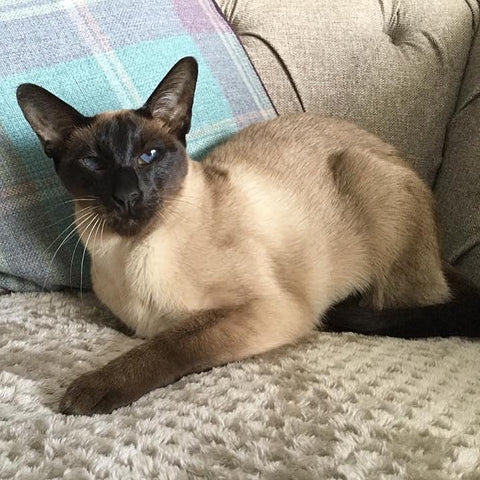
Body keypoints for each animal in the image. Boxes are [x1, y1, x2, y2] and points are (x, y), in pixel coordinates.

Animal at [16, 57, 478, 416]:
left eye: (149, 155)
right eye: (93, 163)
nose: (128, 196)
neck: (132, 256)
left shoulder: (265, 309)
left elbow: (172, 345)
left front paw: (87, 391)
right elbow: (162, 339)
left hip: (365, 181)